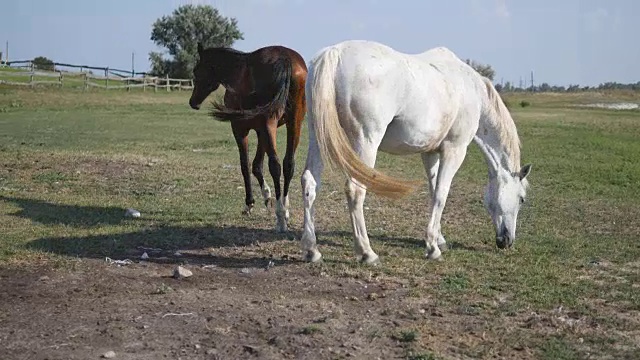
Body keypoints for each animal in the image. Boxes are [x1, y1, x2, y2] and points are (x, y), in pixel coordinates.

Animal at [188, 43, 308, 233]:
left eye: (197, 70)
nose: (193, 102)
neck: (237, 70)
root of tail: (285, 58)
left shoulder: (240, 129)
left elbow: (245, 165)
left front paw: (250, 203)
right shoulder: (261, 131)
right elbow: (257, 166)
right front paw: (270, 197)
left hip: (270, 122)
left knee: (275, 165)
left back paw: (280, 218)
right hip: (294, 122)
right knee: (288, 164)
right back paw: (284, 210)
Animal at [302, 40, 532, 264]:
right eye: (521, 199)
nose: (506, 241)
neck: (471, 90)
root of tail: (335, 52)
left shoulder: (430, 153)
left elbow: (433, 191)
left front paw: (439, 240)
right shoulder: (455, 150)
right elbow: (441, 195)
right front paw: (432, 248)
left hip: (317, 138)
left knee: (310, 183)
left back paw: (313, 251)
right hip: (365, 141)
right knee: (355, 190)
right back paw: (368, 253)